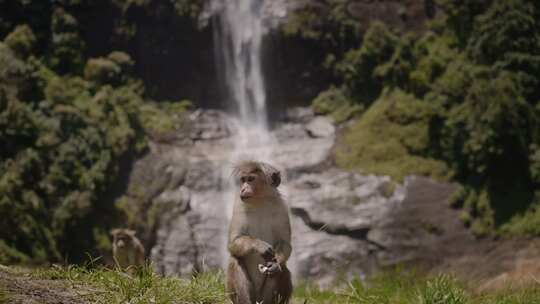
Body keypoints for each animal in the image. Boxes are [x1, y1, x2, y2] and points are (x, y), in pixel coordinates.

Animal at [226, 160, 294, 302]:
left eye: (251, 179)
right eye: (243, 179)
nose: (243, 189)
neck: (260, 201)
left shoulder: (282, 208)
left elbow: (285, 243)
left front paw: (275, 264)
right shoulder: (238, 206)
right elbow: (233, 242)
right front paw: (258, 245)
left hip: (264, 295)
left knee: (282, 269)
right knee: (235, 260)